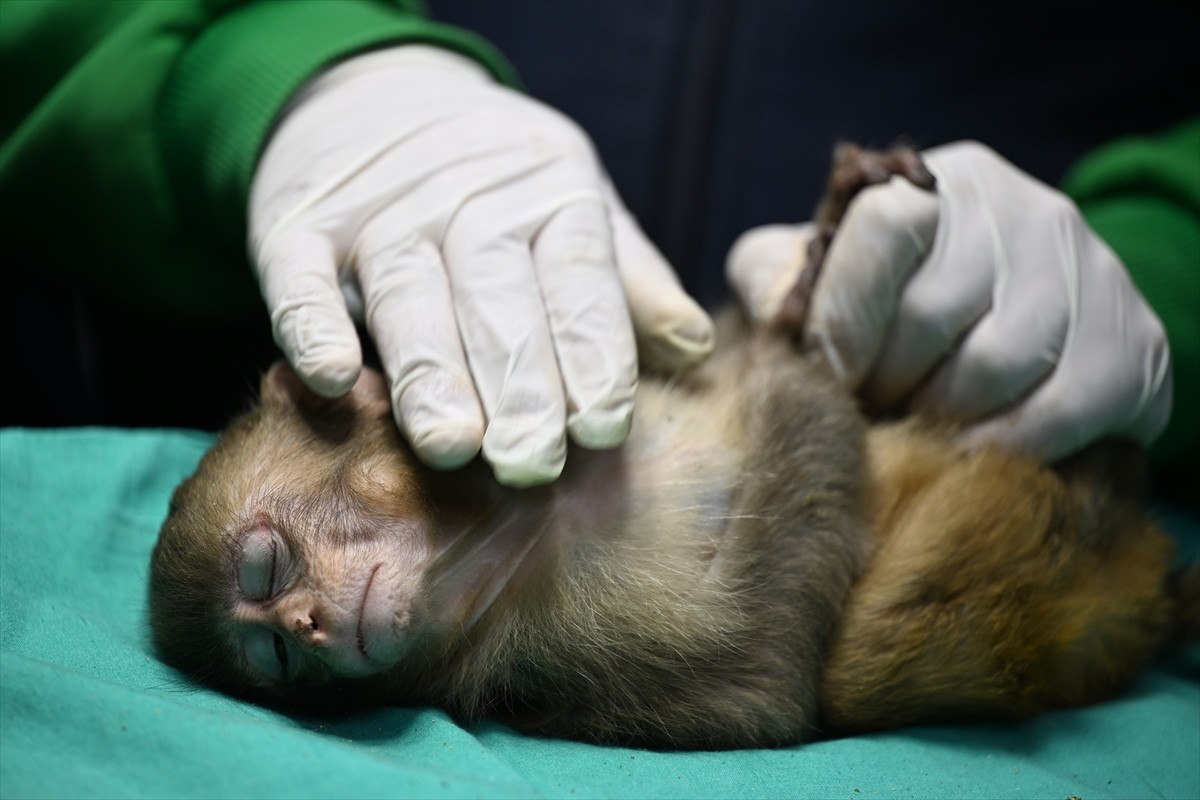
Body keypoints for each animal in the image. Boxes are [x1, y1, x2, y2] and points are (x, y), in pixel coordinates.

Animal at [145, 143, 1195, 753]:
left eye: (267, 567)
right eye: (275, 659)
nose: (308, 626)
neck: (521, 521)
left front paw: (811, 274)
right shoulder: (550, 649)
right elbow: (768, 677)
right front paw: (794, 332)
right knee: (867, 654)